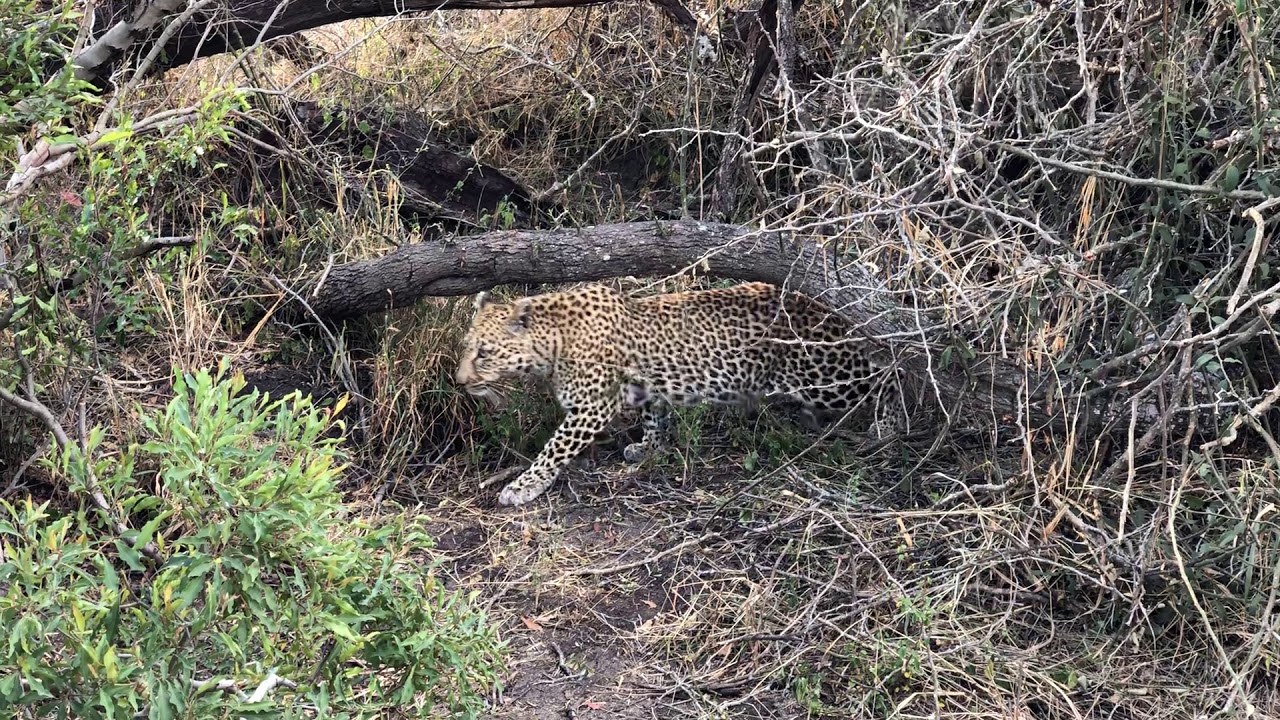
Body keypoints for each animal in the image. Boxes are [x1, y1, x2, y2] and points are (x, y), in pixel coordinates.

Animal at [454, 281, 901, 506]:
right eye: (466, 346)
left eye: (485, 352)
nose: (459, 381)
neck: (553, 342)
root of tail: (827, 311)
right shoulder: (646, 386)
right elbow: (655, 416)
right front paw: (649, 448)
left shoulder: (592, 407)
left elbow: (553, 449)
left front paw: (523, 486)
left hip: (824, 377)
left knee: (885, 374)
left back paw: (887, 425)